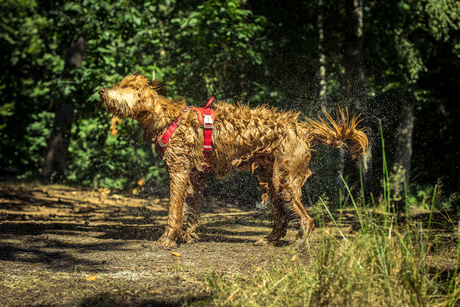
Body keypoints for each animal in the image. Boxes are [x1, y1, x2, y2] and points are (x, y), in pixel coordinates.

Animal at [99, 73, 368, 250]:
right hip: (270, 180)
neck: (167, 119)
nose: (101, 91)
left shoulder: (178, 172)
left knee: (307, 219)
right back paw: (269, 239)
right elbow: (193, 210)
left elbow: (174, 212)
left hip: (285, 179)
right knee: (280, 217)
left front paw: (167, 239)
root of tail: (302, 128)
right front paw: (189, 236)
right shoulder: (196, 177)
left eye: (125, 87)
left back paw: (301, 242)